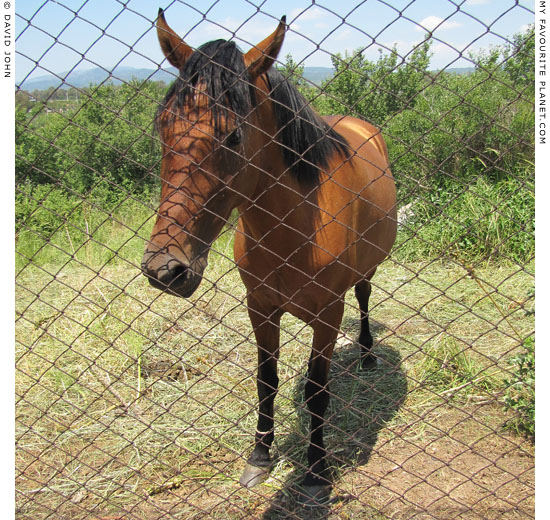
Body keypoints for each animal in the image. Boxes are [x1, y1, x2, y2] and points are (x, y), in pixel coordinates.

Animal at [143, 8, 396, 504]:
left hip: (365, 273)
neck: (294, 228)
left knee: (364, 295)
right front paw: (260, 456)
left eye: (233, 135)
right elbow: (266, 379)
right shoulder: (259, 307)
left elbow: (317, 391)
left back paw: (368, 355)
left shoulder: (328, 313)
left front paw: (316, 471)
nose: (166, 269)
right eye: (163, 128)